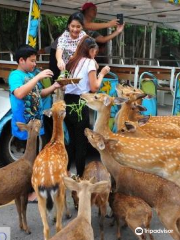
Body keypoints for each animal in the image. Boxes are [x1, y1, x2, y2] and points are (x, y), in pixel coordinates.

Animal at [31, 100, 69, 240]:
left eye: (56, 104)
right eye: (63, 106)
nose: (63, 101)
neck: (56, 141)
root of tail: (47, 183)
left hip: (39, 195)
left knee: (46, 228)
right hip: (59, 189)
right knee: (58, 225)